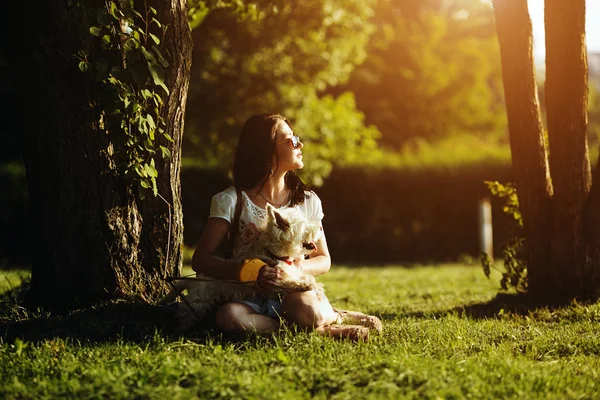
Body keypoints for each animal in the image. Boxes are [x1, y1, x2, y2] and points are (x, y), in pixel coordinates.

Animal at [162, 203, 324, 328]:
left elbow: (299, 275)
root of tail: (192, 280)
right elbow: (291, 283)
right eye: (304, 225)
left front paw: (311, 282)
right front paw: (310, 284)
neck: (274, 253)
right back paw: (183, 329)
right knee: (185, 313)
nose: (321, 228)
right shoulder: (274, 283)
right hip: (199, 299)